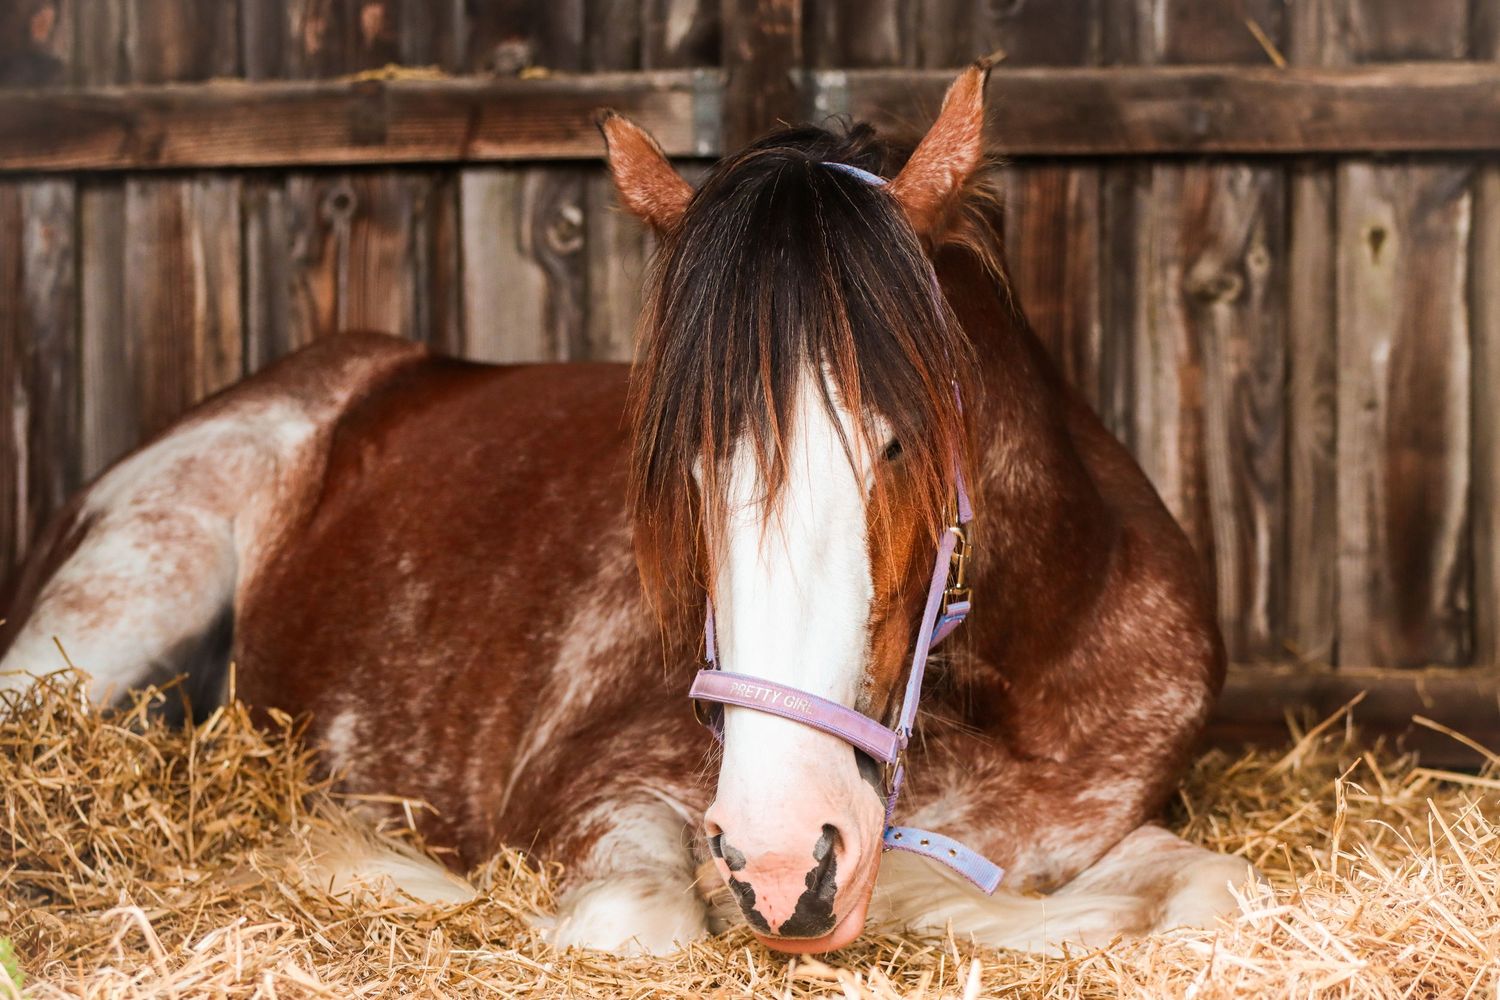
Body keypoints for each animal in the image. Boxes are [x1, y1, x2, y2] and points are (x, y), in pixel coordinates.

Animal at [0, 64, 1254, 955]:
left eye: (899, 438)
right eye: (684, 464)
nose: (782, 856)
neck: (1021, 699)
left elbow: (1216, 888)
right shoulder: (598, 790)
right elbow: (645, 920)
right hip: (126, 591)